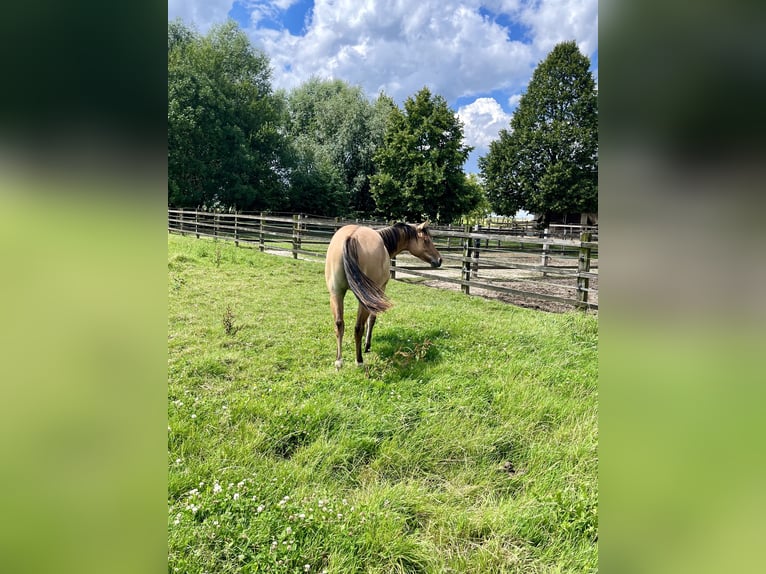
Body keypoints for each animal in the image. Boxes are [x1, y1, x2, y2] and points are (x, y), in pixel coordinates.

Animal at [324, 223, 444, 372]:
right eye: (426, 240)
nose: (439, 260)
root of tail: (351, 237)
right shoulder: (379, 291)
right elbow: (372, 319)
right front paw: (367, 345)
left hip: (336, 293)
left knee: (339, 324)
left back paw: (339, 361)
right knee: (358, 327)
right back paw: (359, 361)